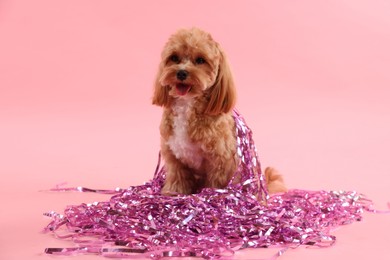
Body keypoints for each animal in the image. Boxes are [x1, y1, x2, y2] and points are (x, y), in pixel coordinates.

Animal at [152, 28, 286, 195]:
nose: (181, 73)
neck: (187, 104)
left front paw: (213, 195)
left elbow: (216, 182)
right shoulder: (173, 155)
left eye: (200, 60)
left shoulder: (221, 159)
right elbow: (177, 177)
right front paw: (173, 192)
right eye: (174, 58)